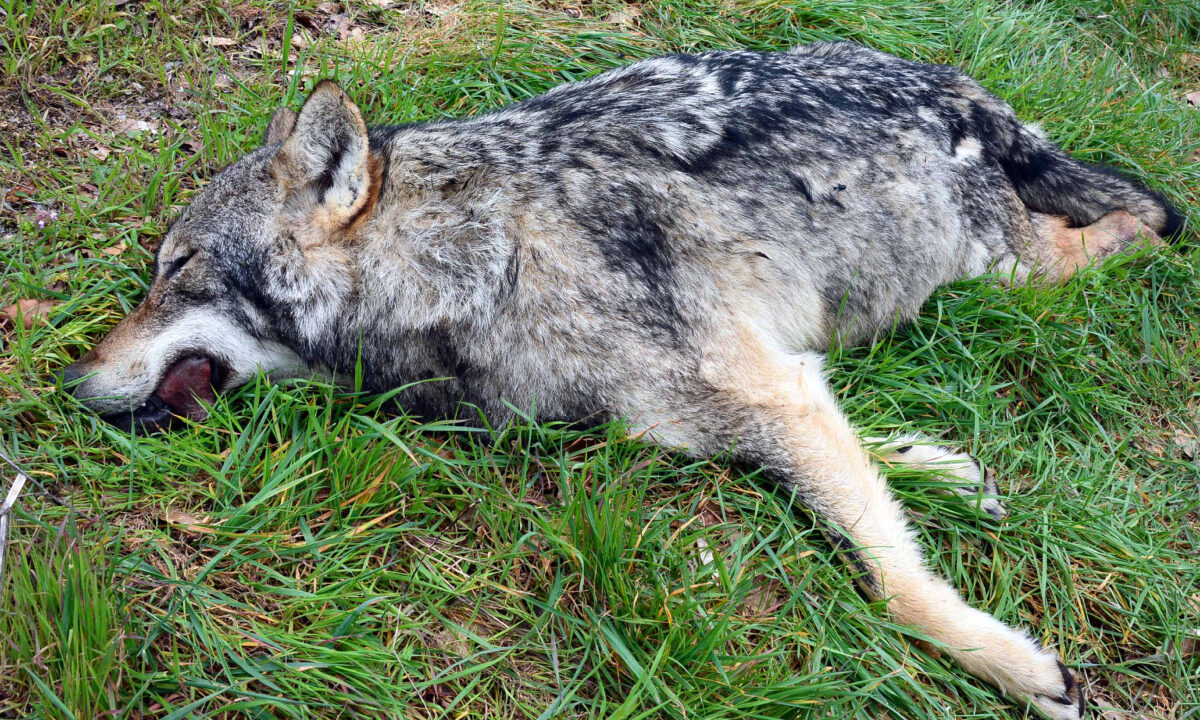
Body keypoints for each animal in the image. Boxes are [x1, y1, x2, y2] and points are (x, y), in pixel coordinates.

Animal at [64, 42, 1182, 717]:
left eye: (177, 268)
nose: (72, 384)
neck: (471, 260)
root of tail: (951, 80)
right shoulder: (749, 394)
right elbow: (858, 467)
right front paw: (940, 469)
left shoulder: (761, 388)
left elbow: (894, 583)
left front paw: (1011, 663)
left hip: (1005, 270)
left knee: (1129, 228)